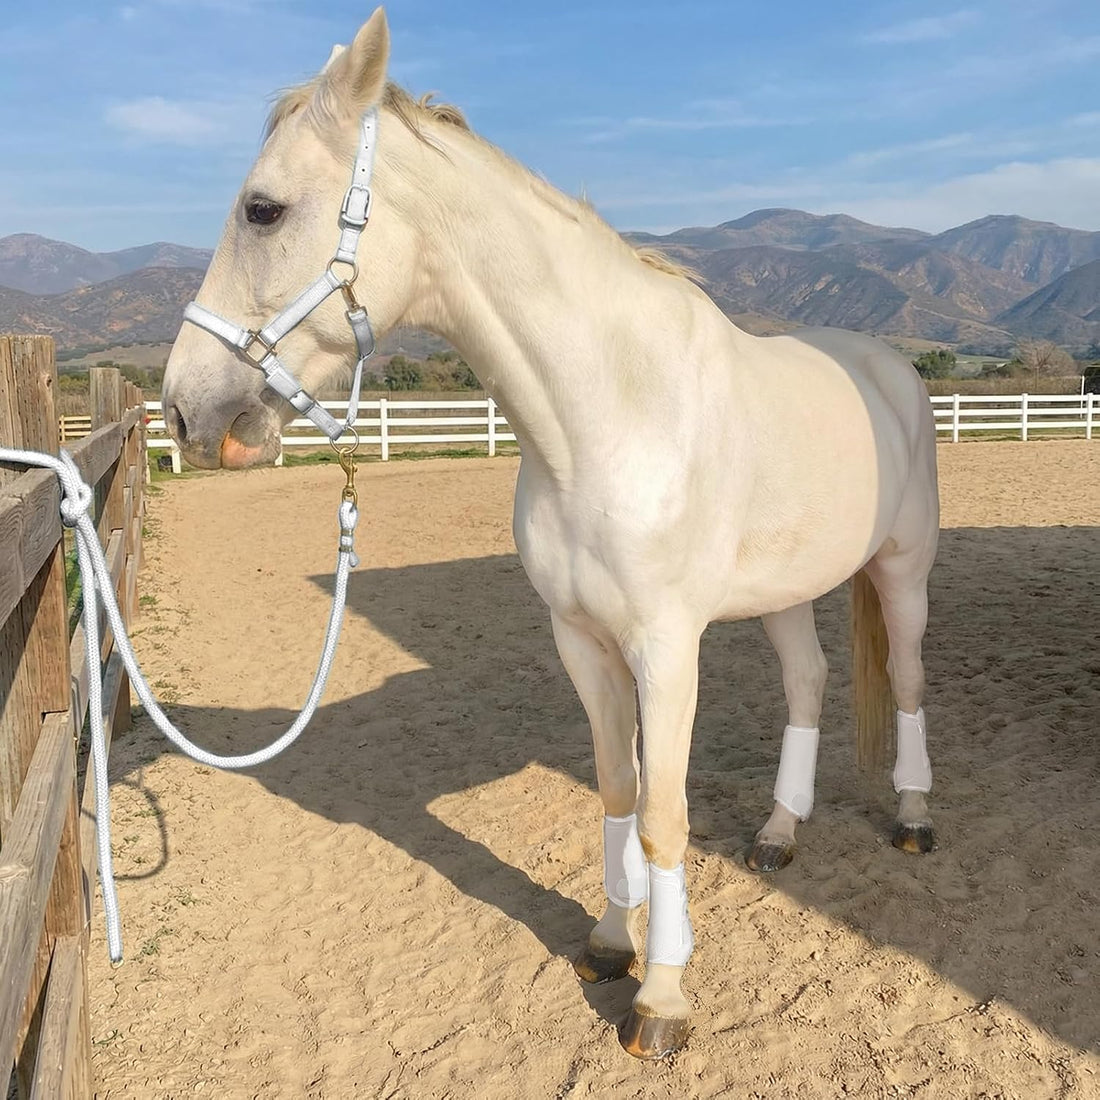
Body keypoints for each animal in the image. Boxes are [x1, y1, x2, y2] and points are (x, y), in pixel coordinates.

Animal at [162, 8, 939, 1060]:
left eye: (263, 209)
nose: (186, 412)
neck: (607, 416)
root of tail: (887, 367)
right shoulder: (582, 641)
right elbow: (615, 790)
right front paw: (610, 945)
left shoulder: (667, 648)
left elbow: (662, 814)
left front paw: (662, 1001)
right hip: (784, 589)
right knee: (809, 683)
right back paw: (779, 834)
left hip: (903, 571)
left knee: (907, 678)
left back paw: (913, 817)